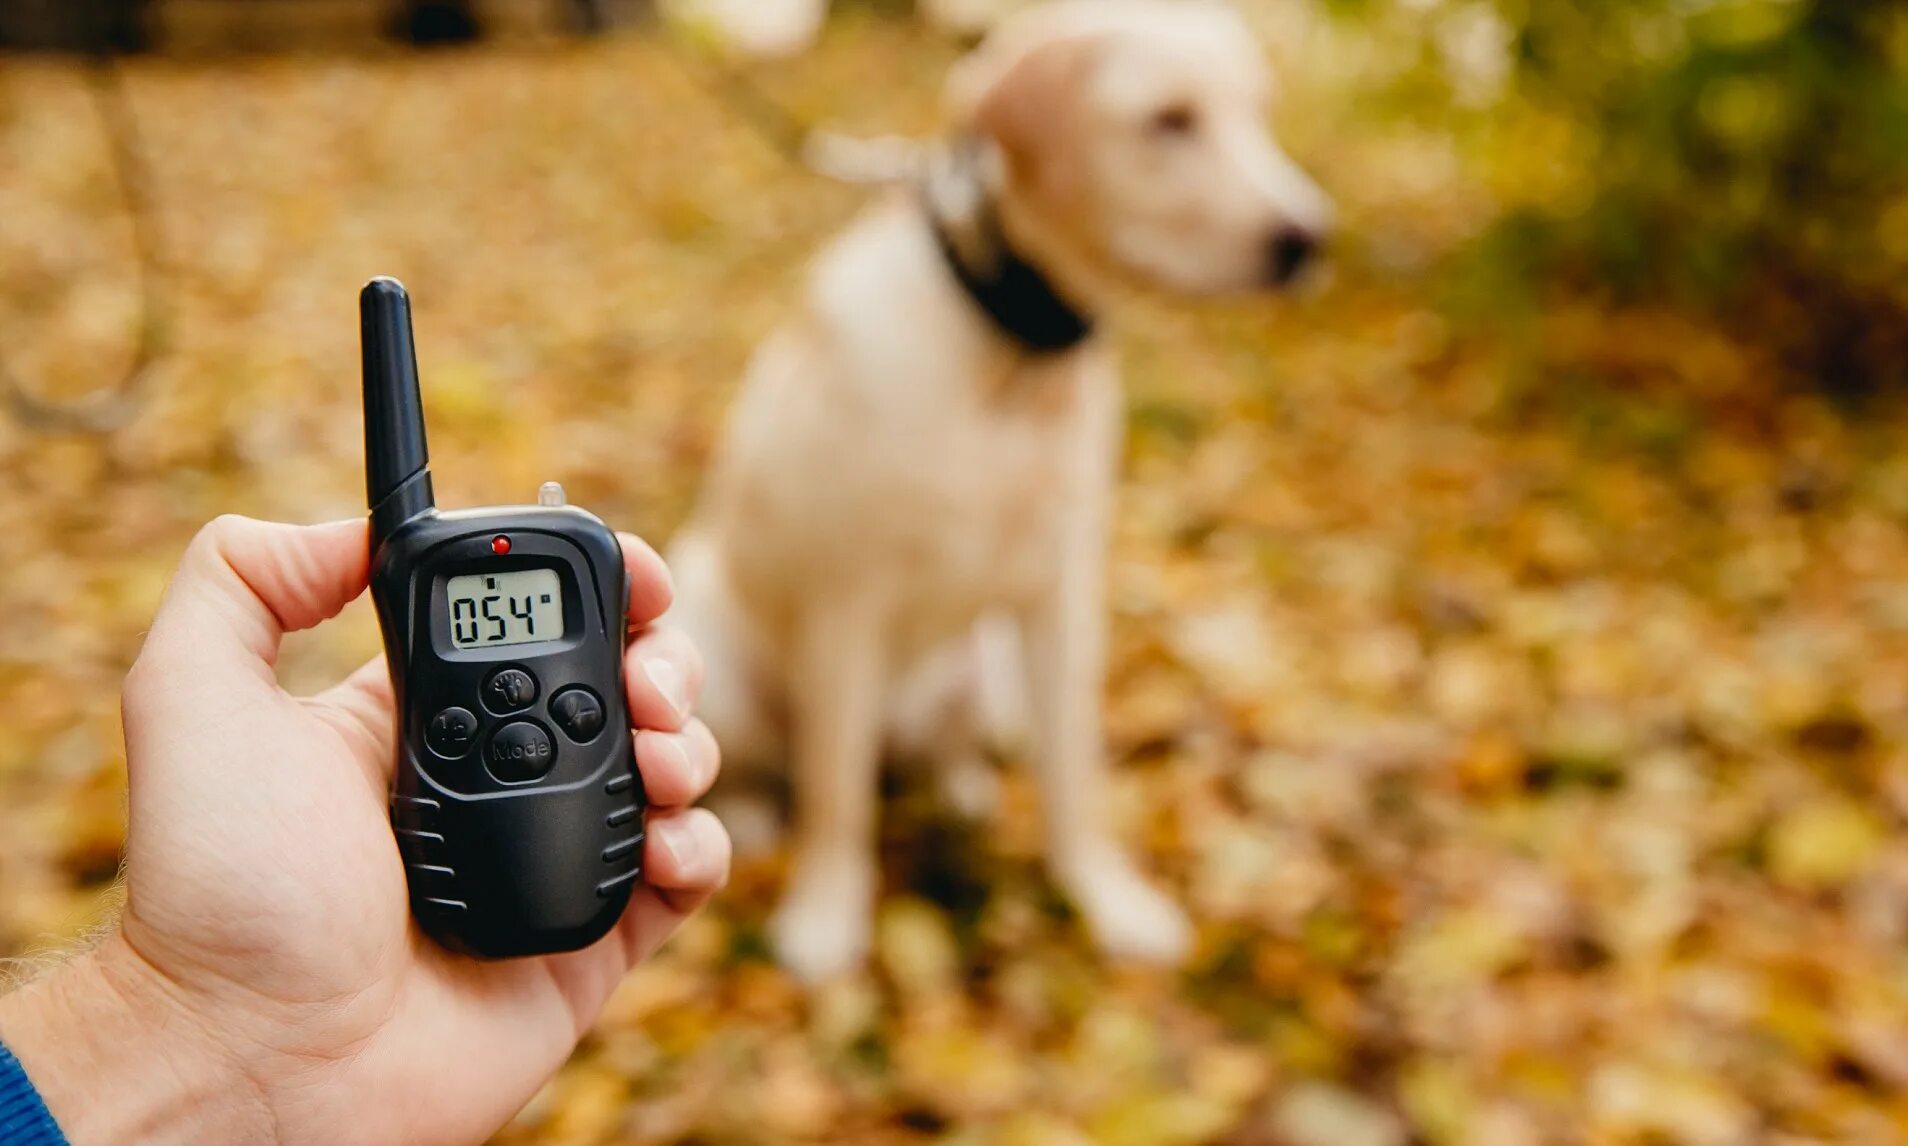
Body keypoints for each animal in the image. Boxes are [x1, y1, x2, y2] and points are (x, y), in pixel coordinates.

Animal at [675, 2, 1343, 983]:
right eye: (1170, 120)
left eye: (1258, 114)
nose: (1308, 236)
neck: (1015, 356)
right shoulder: (845, 602)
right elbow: (837, 795)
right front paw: (826, 917)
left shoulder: (1060, 590)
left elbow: (1075, 770)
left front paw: (1105, 898)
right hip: (717, 648)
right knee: (783, 766)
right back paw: (759, 813)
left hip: (983, 667)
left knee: (936, 748)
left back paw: (961, 787)